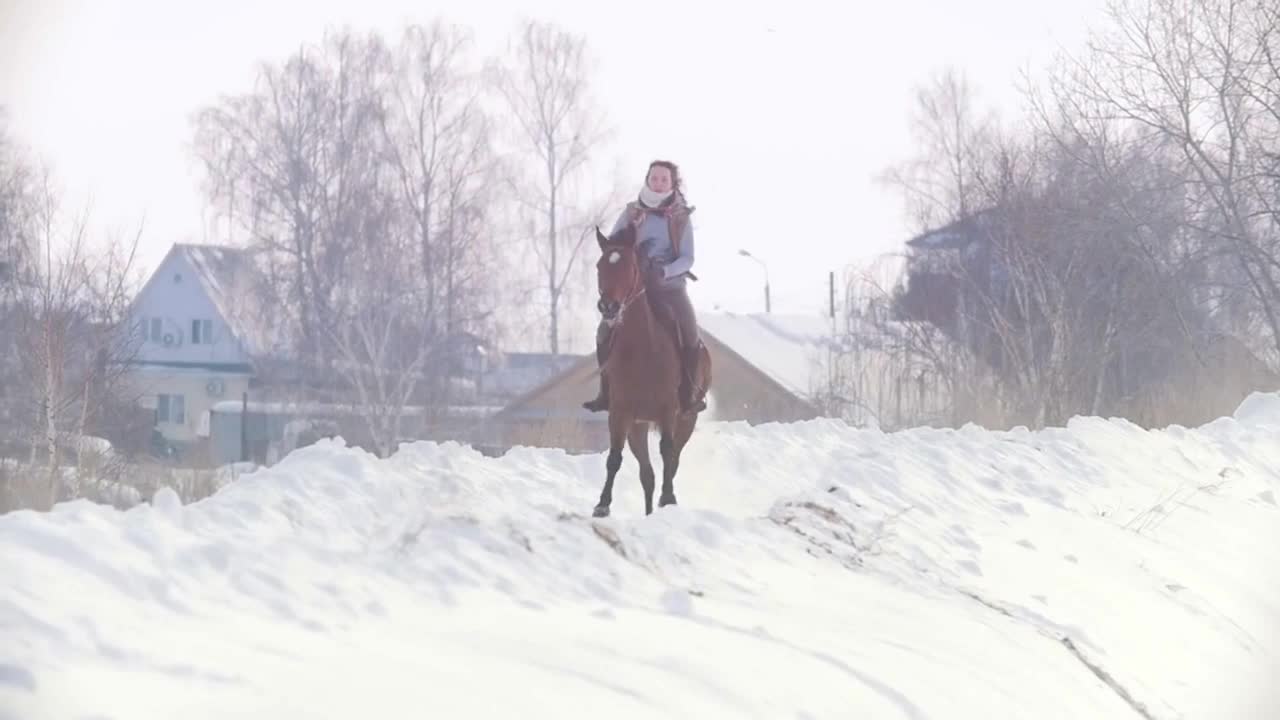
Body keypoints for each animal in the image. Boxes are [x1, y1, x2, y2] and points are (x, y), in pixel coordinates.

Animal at [588, 221, 711, 512]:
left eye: (630, 265)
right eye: (599, 265)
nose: (608, 306)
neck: (643, 349)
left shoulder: (668, 411)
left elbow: (667, 452)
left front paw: (669, 498)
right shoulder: (620, 413)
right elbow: (614, 458)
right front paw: (602, 504)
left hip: (687, 419)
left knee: (673, 459)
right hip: (638, 426)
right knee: (647, 474)